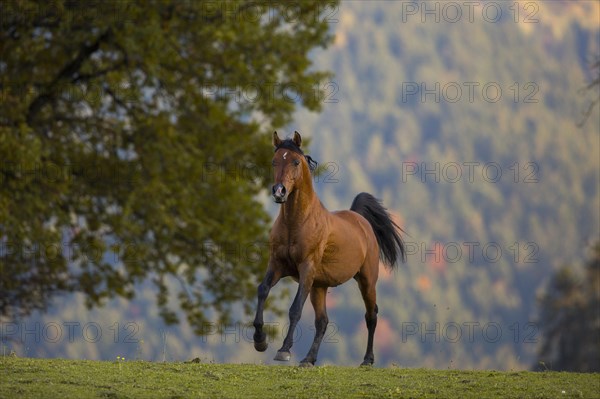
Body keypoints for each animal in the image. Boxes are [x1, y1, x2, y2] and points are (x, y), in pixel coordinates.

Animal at [251, 130, 406, 366]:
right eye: (274, 161)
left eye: (296, 161)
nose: (279, 192)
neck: (296, 223)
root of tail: (361, 220)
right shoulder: (278, 265)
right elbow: (262, 290)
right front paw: (260, 340)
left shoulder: (306, 268)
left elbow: (295, 309)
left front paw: (284, 350)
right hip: (319, 287)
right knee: (322, 322)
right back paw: (308, 359)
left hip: (366, 280)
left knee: (371, 316)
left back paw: (367, 360)